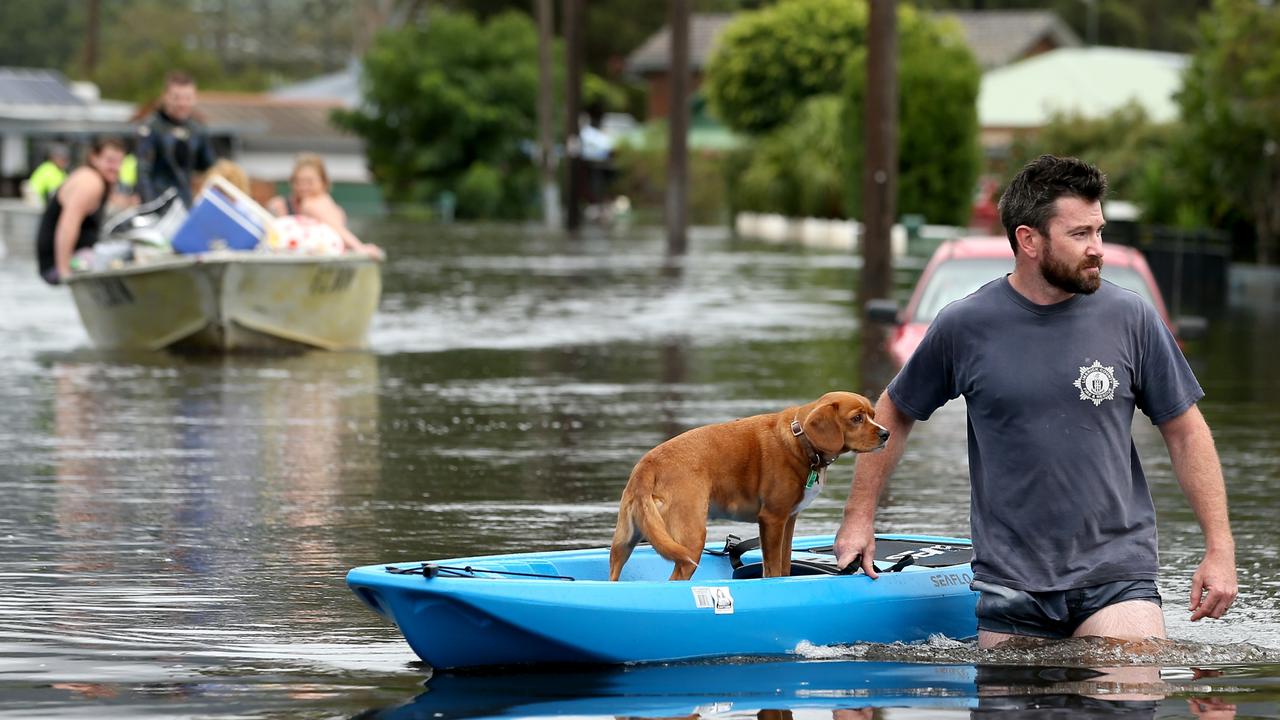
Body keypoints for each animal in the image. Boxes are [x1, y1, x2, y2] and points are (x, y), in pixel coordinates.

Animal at [609, 389, 890, 579]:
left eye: (873, 415)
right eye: (857, 418)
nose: (886, 433)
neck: (800, 440)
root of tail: (648, 466)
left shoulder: (788, 520)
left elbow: (784, 565)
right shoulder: (772, 519)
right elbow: (773, 569)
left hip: (624, 543)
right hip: (691, 540)